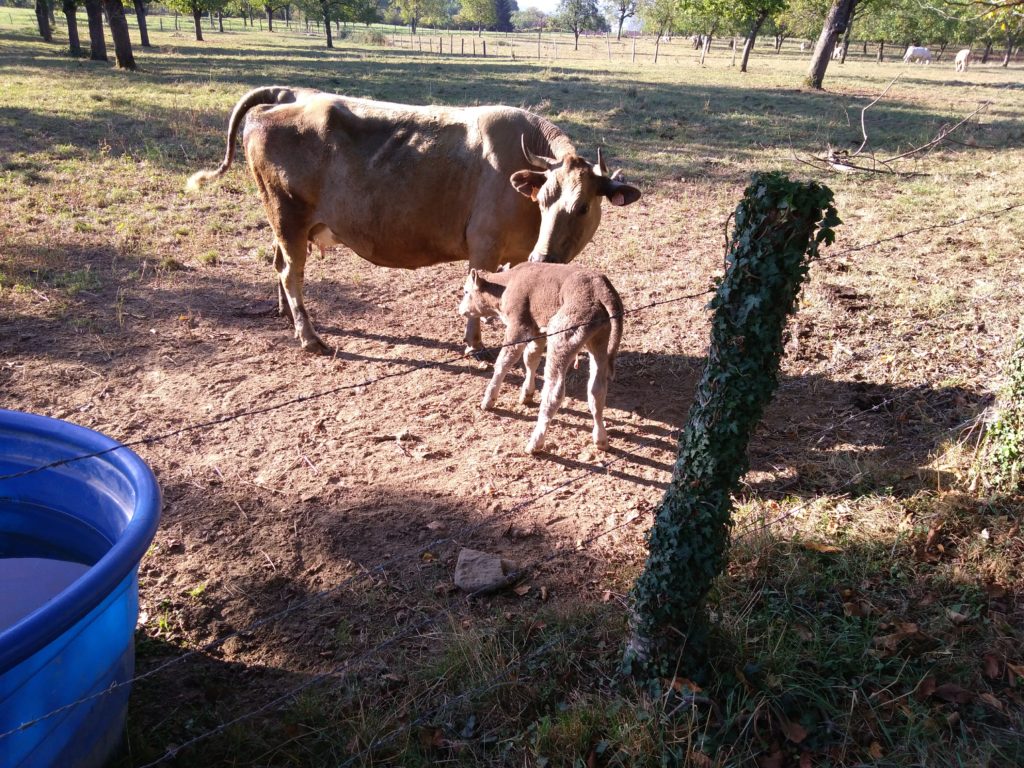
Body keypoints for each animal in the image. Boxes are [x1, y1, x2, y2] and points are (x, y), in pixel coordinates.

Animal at [188, 87, 638, 354]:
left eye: (582, 207)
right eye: (543, 200)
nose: (545, 257)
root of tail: (286, 99)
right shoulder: (484, 245)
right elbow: (475, 289)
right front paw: (474, 344)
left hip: (283, 224)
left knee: (278, 263)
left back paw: (288, 315)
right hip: (289, 218)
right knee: (290, 272)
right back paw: (309, 336)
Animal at [458, 264, 622, 456]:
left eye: (466, 291)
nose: (461, 310)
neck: (506, 285)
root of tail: (600, 287)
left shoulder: (518, 326)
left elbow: (504, 361)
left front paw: (488, 400)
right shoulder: (538, 331)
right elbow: (531, 357)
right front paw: (526, 394)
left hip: (561, 338)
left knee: (554, 392)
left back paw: (535, 443)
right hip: (599, 341)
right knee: (596, 390)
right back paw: (601, 439)